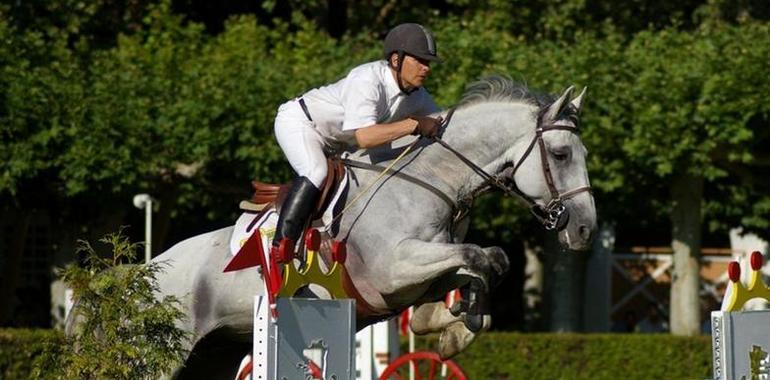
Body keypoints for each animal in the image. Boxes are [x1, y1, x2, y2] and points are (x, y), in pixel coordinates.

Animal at [141, 75, 592, 378]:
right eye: (561, 154)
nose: (585, 229)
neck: (429, 180)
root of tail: (144, 272)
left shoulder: (424, 266)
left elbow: (488, 261)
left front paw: (447, 324)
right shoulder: (392, 269)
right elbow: (477, 256)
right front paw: (448, 325)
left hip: (215, 352)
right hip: (166, 354)